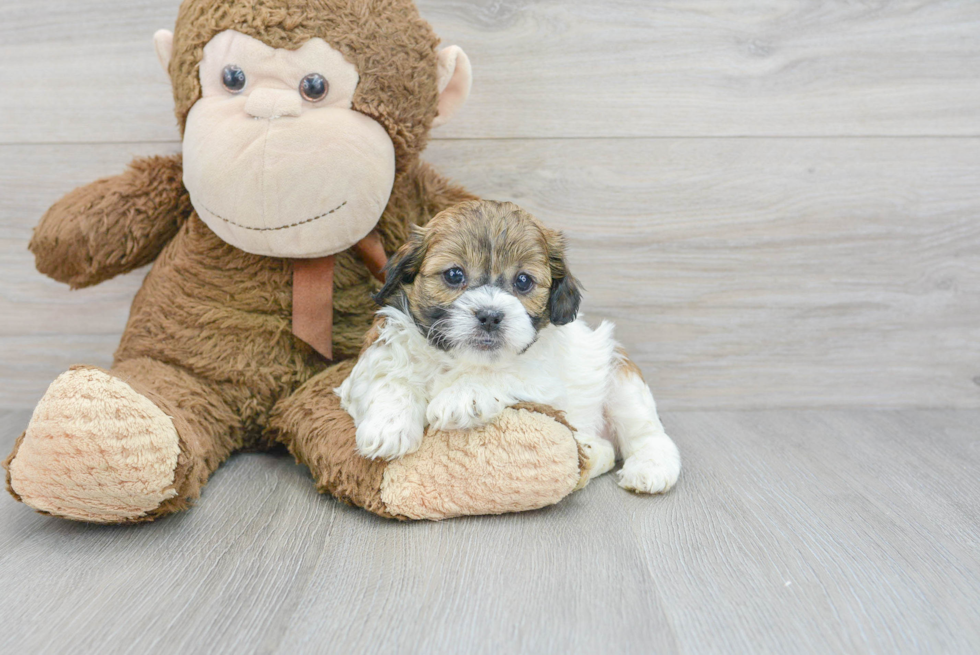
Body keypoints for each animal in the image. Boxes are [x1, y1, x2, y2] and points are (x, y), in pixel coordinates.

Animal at [336, 202, 680, 494]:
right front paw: (388, 427)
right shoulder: (375, 358)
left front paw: (462, 396)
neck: (460, 360)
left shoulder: (542, 376)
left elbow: (504, 373)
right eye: (454, 274)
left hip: (621, 378)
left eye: (524, 281)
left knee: (647, 433)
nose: (490, 315)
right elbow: (388, 377)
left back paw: (650, 468)